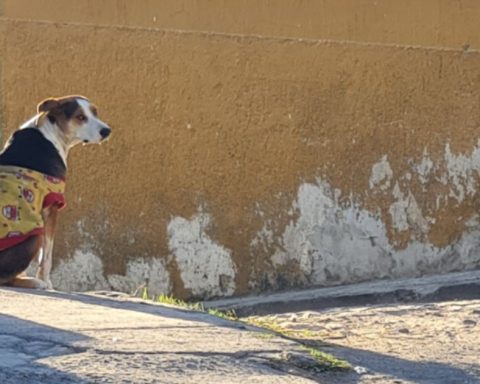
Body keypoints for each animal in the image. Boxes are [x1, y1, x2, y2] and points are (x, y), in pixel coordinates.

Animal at [0, 95, 110, 288]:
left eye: (95, 112)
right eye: (80, 117)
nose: (107, 131)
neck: (50, 134)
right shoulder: (51, 208)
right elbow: (47, 257)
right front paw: (47, 282)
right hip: (33, 236)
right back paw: (34, 282)